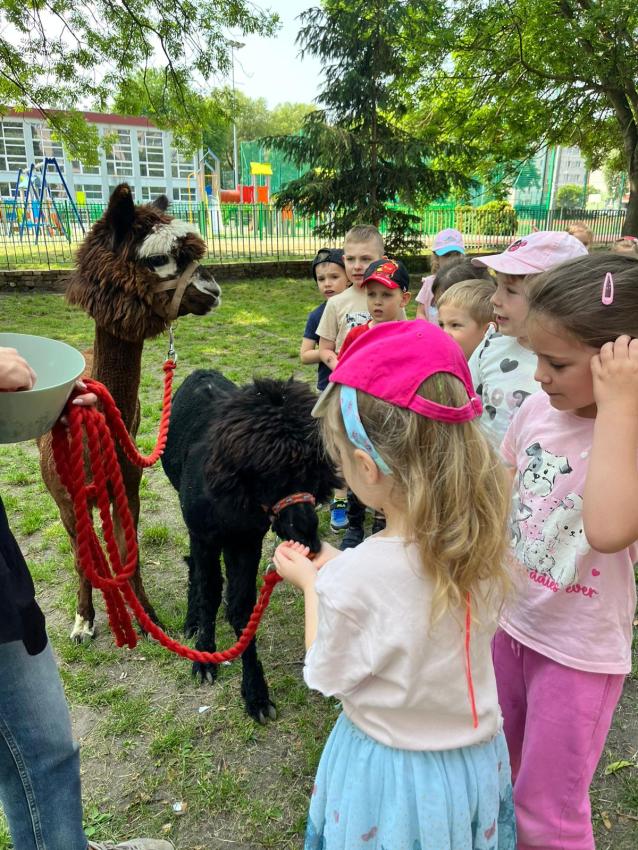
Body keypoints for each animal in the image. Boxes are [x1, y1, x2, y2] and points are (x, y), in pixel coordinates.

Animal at [38, 183, 221, 642]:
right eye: (157, 258)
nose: (212, 289)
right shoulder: (66, 500)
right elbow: (82, 558)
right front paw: (83, 619)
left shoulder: (129, 485)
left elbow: (129, 551)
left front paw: (148, 616)